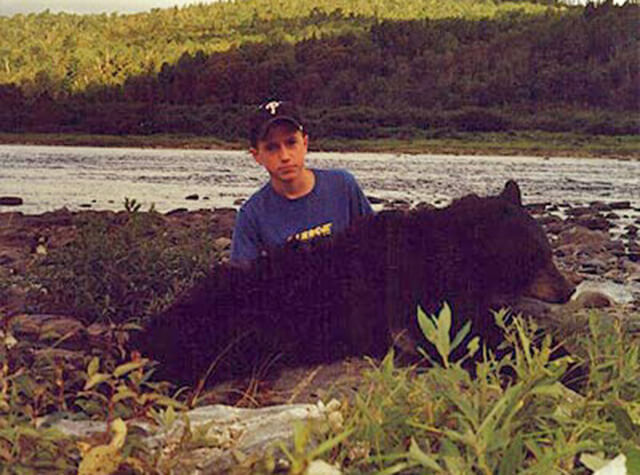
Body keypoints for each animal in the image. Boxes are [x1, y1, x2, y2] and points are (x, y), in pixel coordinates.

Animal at [132, 181, 572, 386]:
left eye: (548, 250)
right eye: (534, 257)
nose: (568, 290)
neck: (450, 248)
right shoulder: (418, 301)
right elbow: (467, 335)